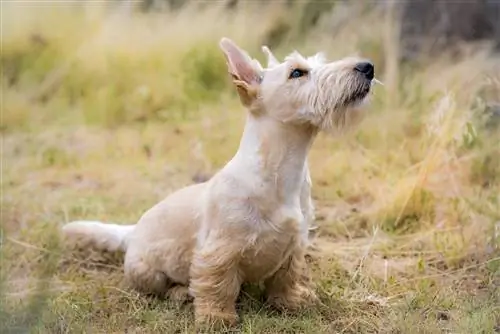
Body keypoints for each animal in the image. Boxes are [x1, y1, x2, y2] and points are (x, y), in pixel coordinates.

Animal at [62, 36, 374, 328]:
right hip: (145, 271)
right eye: (297, 72)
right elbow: (218, 286)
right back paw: (180, 293)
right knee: (160, 287)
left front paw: (291, 302)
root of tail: (132, 231)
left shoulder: (295, 246)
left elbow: (286, 278)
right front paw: (217, 318)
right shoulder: (219, 251)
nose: (368, 67)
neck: (283, 170)